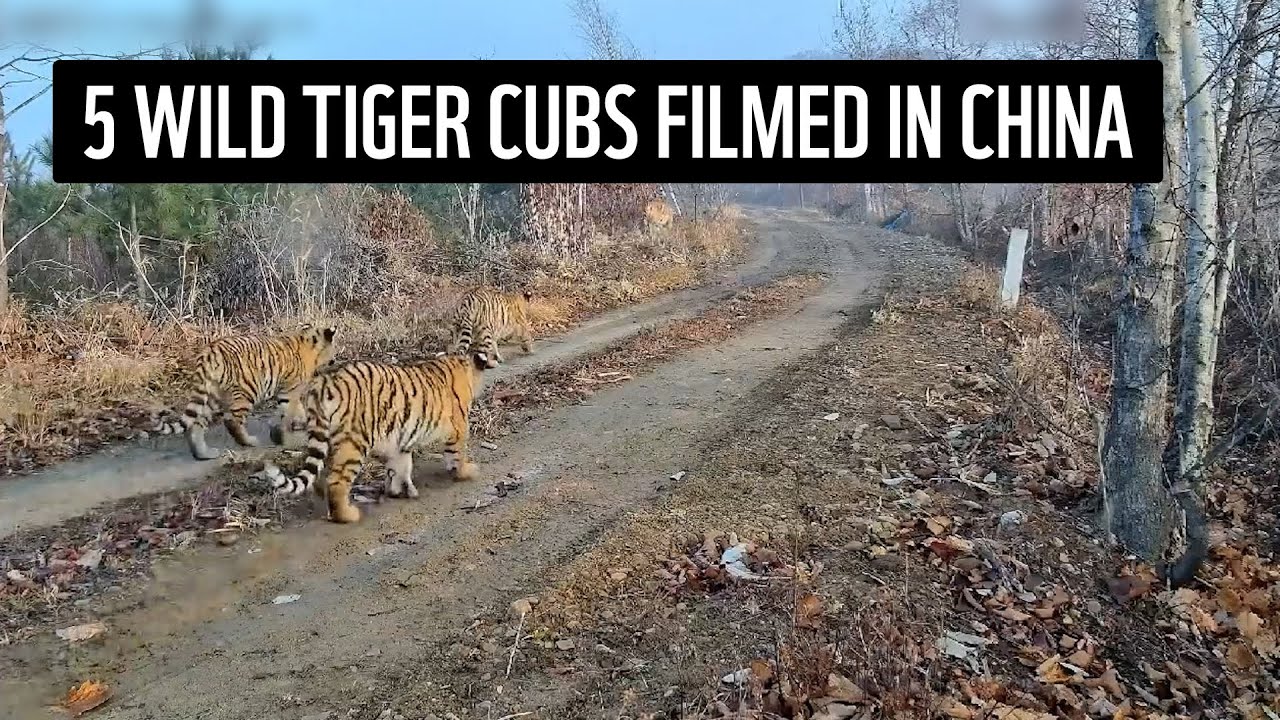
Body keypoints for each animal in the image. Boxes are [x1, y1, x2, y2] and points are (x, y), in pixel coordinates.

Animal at [153, 324, 338, 461]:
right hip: (248, 391)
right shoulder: (289, 391)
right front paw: (288, 434)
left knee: (197, 424)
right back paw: (249, 442)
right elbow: (290, 411)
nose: (335, 361)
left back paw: (204, 454)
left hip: (212, 396)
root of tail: (210, 351)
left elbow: (298, 410)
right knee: (232, 420)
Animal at [256, 344, 495, 524]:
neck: (464, 367)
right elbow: (457, 454)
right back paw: (347, 514)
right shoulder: (458, 428)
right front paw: (466, 472)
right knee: (336, 481)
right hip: (354, 443)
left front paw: (399, 490)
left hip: (327, 438)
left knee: (319, 477)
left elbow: (400, 467)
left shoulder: (402, 439)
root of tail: (324, 383)